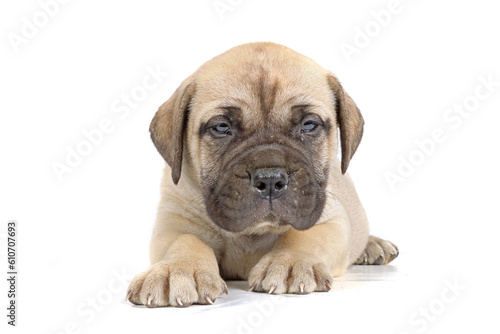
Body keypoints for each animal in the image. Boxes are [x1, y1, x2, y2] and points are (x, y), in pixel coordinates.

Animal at [126, 41, 398, 308]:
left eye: (309, 125)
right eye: (221, 127)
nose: (270, 180)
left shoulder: (331, 219)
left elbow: (304, 235)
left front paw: (290, 261)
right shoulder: (173, 223)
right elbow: (185, 241)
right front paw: (176, 270)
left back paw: (373, 245)